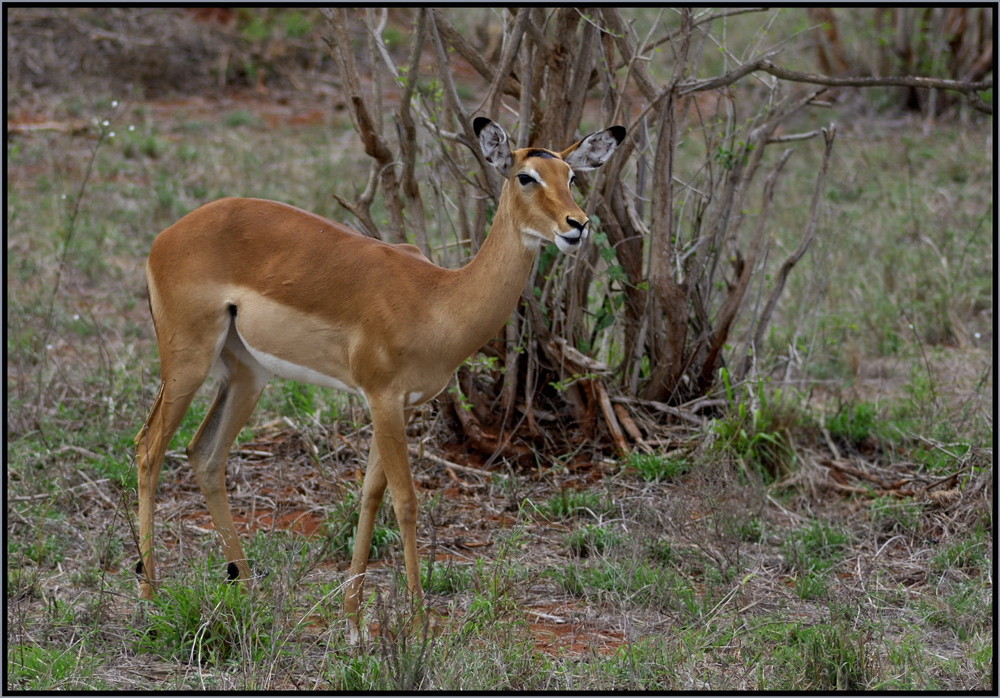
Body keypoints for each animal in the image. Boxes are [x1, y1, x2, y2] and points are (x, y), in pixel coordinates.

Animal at [133, 115, 624, 640]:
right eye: (526, 176)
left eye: (571, 176)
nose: (577, 225)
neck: (438, 300)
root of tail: (164, 238)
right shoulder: (384, 398)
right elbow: (406, 500)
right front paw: (419, 621)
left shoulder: (393, 403)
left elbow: (370, 495)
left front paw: (352, 619)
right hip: (187, 361)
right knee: (149, 447)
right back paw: (150, 596)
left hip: (248, 374)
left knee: (204, 454)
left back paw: (247, 590)